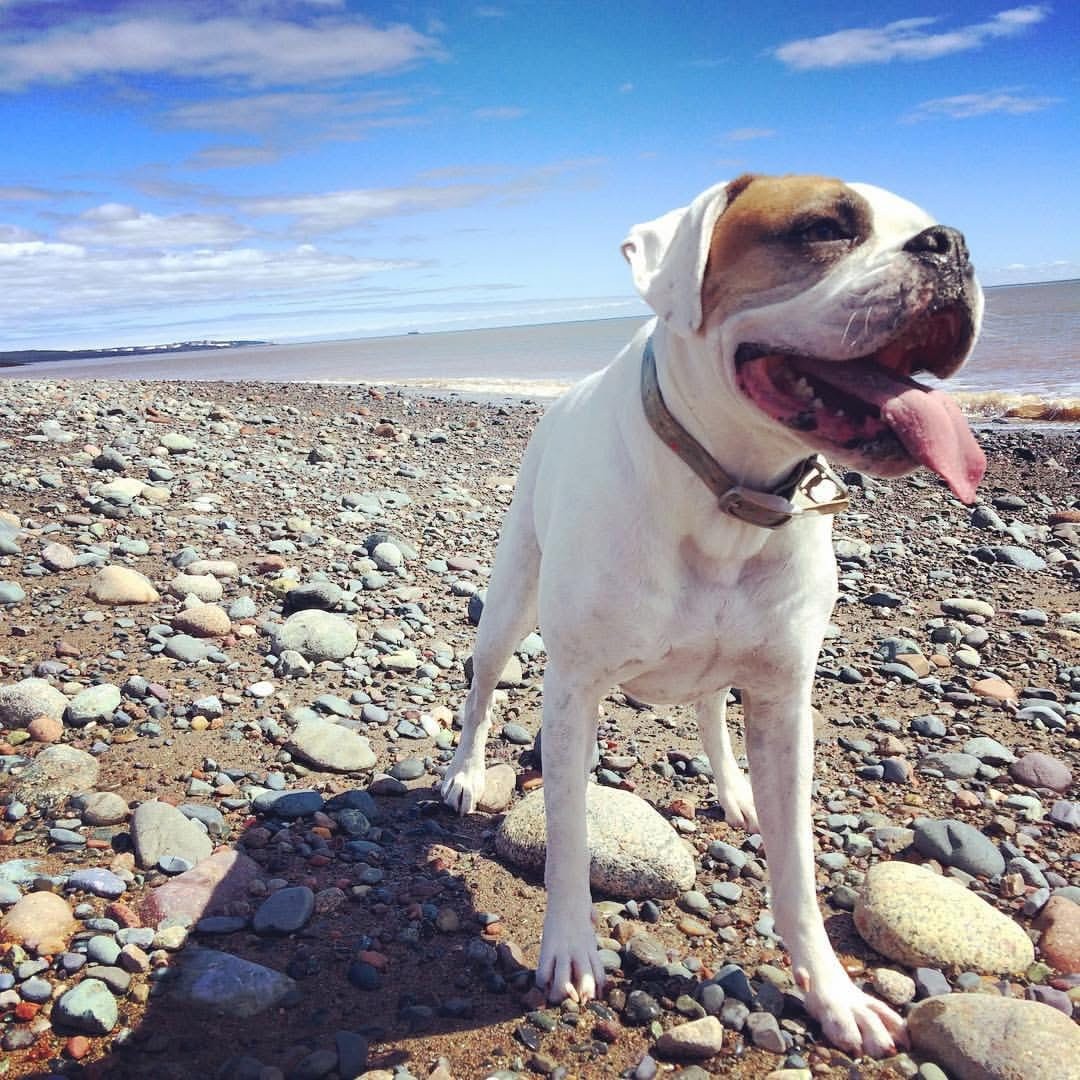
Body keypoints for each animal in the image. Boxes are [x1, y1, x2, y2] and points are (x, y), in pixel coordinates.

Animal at [440, 173, 985, 1058]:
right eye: (824, 227)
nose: (952, 245)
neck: (730, 488)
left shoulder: (784, 701)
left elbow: (796, 870)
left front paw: (832, 993)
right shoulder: (574, 688)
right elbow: (567, 834)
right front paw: (570, 948)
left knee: (706, 705)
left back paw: (733, 787)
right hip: (509, 604)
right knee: (483, 685)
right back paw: (461, 772)